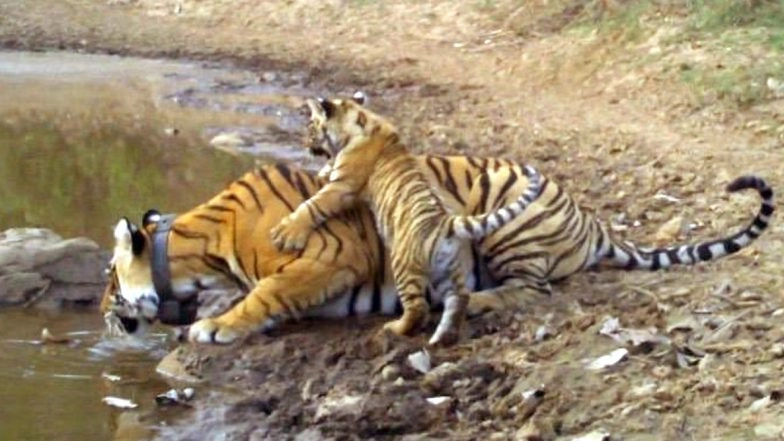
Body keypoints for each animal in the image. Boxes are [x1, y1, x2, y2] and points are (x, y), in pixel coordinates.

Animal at [269, 92, 543, 346]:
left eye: (310, 125)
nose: (305, 143)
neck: (363, 119)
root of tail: (445, 223)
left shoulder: (342, 185)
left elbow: (312, 205)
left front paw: (285, 234)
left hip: (402, 264)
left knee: (418, 309)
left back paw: (394, 329)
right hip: (447, 270)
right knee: (458, 299)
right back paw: (443, 337)